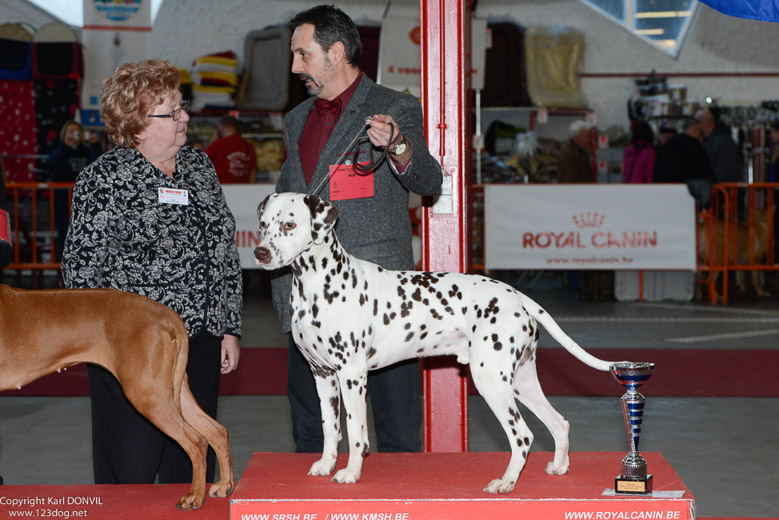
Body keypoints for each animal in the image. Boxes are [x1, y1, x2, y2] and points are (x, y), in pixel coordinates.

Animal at [0, 284, 233, 508]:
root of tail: (167, 314)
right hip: (171, 388)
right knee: (217, 431)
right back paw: (224, 486)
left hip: (147, 392)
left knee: (198, 442)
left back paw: (194, 496)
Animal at [256, 193, 620, 494]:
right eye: (263, 225)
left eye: (289, 224)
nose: (260, 252)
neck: (319, 284)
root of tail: (518, 297)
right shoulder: (323, 375)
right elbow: (331, 428)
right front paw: (326, 464)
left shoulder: (352, 375)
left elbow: (356, 432)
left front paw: (350, 473)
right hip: (521, 381)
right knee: (558, 423)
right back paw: (558, 467)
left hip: (491, 381)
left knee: (523, 436)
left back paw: (506, 482)